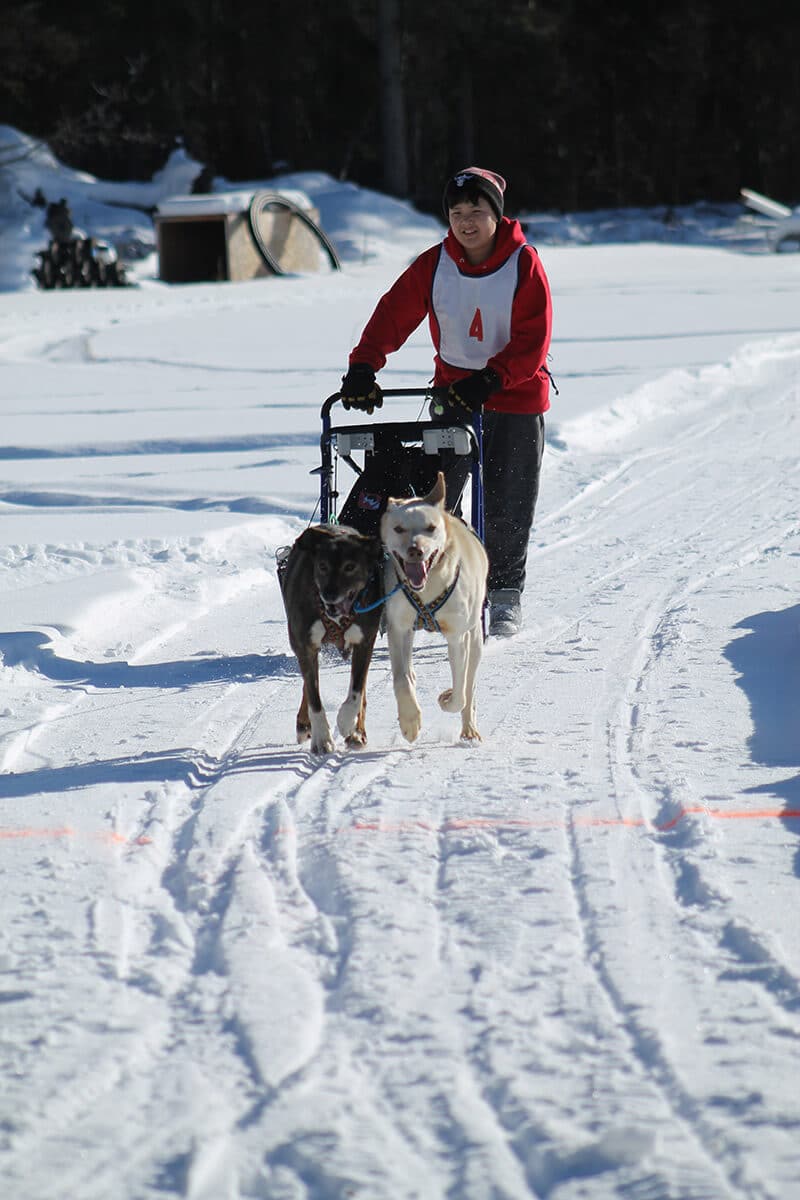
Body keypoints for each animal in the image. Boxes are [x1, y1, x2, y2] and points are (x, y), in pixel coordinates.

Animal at [280, 523, 383, 748]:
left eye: (350, 566)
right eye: (322, 566)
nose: (329, 594)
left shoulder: (364, 642)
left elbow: (356, 692)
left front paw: (347, 723)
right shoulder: (305, 646)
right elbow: (313, 696)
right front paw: (322, 738)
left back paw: (358, 732)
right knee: (307, 686)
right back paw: (304, 724)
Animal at [381, 470, 489, 739]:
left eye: (431, 528)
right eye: (398, 528)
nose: (415, 550)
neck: (428, 588)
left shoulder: (457, 637)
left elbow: (460, 694)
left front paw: (447, 697)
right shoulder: (398, 628)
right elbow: (401, 679)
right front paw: (409, 720)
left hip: (474, 638)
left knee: (469, 687)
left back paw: (469, 729)